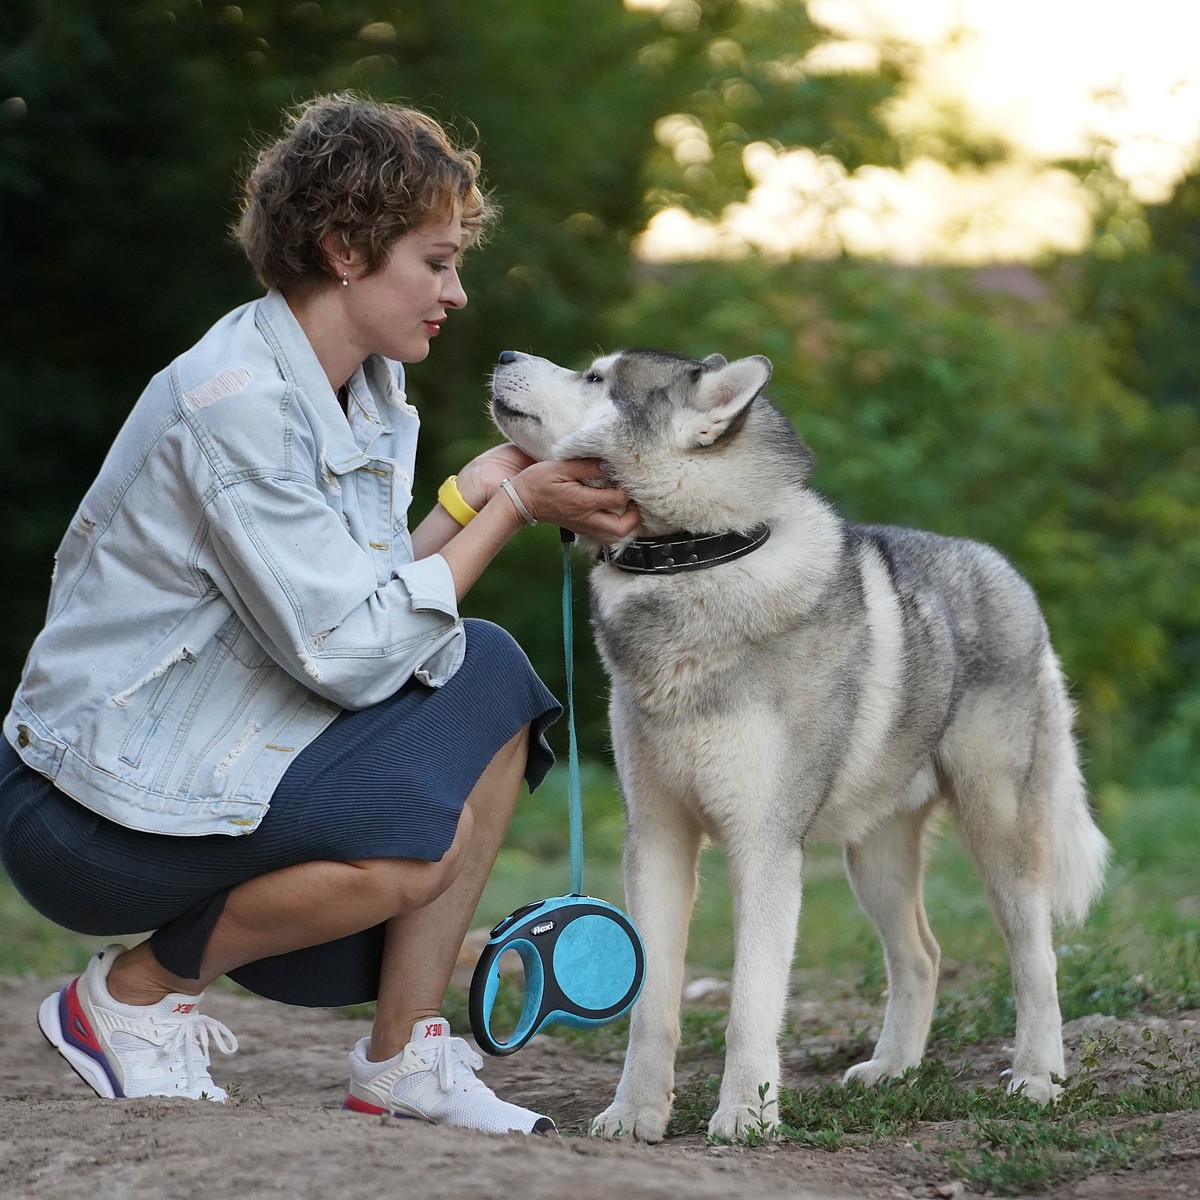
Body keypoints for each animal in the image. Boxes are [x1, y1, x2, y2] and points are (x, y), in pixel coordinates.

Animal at [492, 348, 1108, 1142]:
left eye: (599, 378)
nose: (504, 354)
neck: (697, 560)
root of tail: (1007, 575)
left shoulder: (764, 847)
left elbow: (751, 1003)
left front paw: (746, 1116)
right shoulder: (655, 838)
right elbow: (652, 1007)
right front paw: (634, 1114)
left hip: (999, 832)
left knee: (1036, 960)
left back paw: (1036, 1078)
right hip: (874, 859)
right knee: (921, 956)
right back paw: (893, 1071)